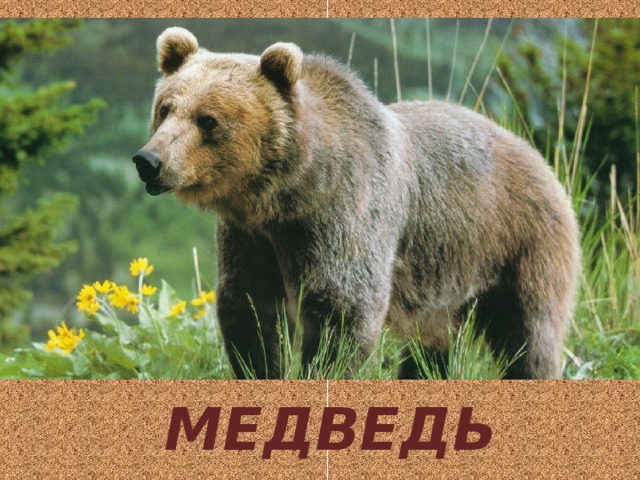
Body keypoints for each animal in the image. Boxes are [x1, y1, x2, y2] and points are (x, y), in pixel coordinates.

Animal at [133, 27, 581, 380]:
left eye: (208, 120)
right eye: (166, 108)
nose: (149, 161)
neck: (291, 191)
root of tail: (538, 156)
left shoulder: (346, 215)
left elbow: (343, 308)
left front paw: (320, 371)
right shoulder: (251, 238)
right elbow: (251, 310)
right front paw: (260, 367)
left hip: (519, 244)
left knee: (529, 335)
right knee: (431, 347)